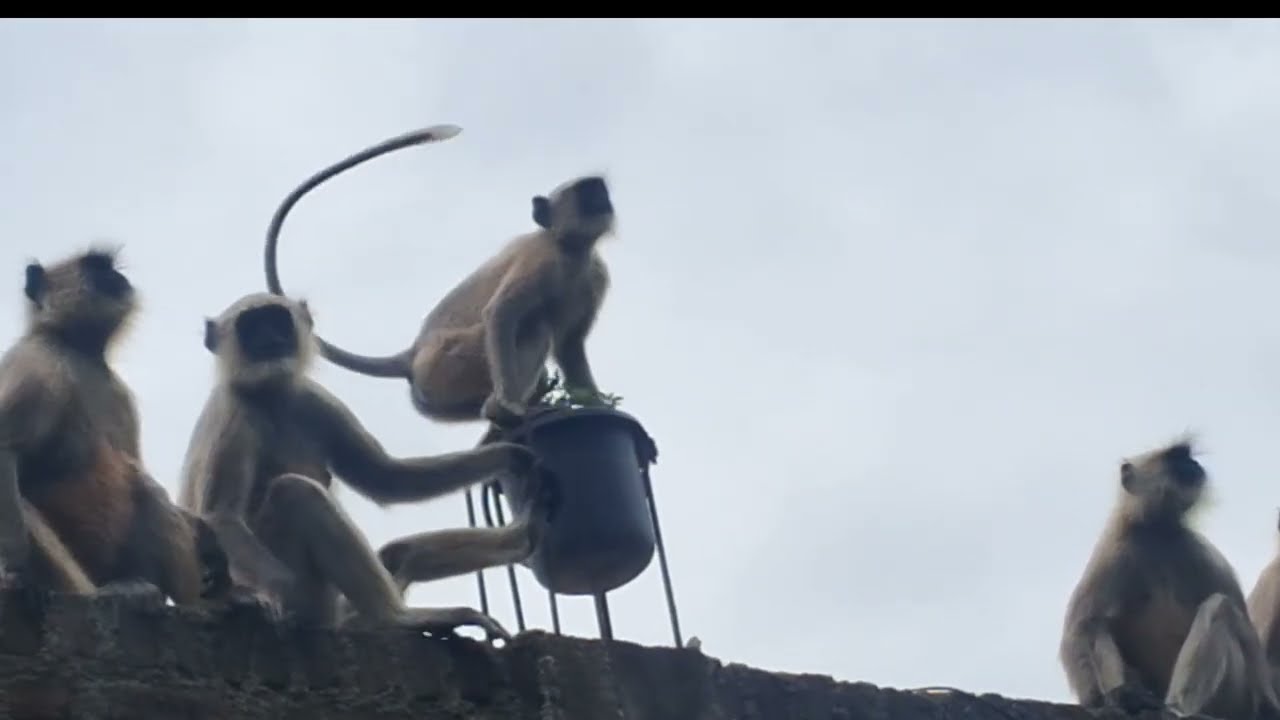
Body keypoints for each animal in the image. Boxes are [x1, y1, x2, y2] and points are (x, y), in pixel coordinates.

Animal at [0, 247, 234, 606]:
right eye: (96, 267)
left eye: (107, 267)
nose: (116, 275)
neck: (79, 350)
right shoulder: (37, 362)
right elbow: (6, 447)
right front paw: (14, 572)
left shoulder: (119, 393)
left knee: (144, 484)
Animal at [178, 291, 555, 639]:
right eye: (251, 327)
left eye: (276, 321)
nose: (270, 339)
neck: (270, 396)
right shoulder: (235, 410)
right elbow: (221, 516)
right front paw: (271, 594)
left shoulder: (314, 400)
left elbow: (385, 477)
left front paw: (510, 456)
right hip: (313, 597)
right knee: (294, 491)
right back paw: (397, 618)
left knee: (397, 551)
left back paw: (520, 539)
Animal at [262, 126, 615, 427]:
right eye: (587, 193)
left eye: (600, 191)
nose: (603, 197)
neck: (570, 249)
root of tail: (413, 353)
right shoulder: (541, 259)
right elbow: (501, 314)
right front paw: (509, 402)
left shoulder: (595, 276)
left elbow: (570, 345)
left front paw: (596, 402)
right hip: (450, 362)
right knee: (533, 326)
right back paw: (501, 408)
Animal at [1059, 437, 1280, 720]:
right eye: (1175, 458)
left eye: (1186, 457)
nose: (1192, 463)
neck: (1158, 532)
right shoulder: (1116, 553)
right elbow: (1084, 627)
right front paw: (1109, 698)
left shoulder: (1197, 552)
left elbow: (1248, 630)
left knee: (1220, 607)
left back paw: (1178, 706)